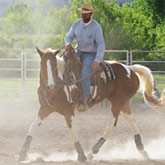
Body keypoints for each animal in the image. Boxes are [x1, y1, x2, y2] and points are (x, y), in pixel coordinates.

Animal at [19, 47, 165, 162]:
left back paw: (91, 153)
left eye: (54, 66)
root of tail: (130, 68)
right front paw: (22, 153)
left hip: (118, 103)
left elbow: (72, 130)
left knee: (111, 126)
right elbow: (32, 127)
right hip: (123, 103)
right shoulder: (45, 108)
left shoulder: (68, 111)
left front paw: (81, 155)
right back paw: (142, 151)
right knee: (132, 121)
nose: (50, 86)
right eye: (43, 65)